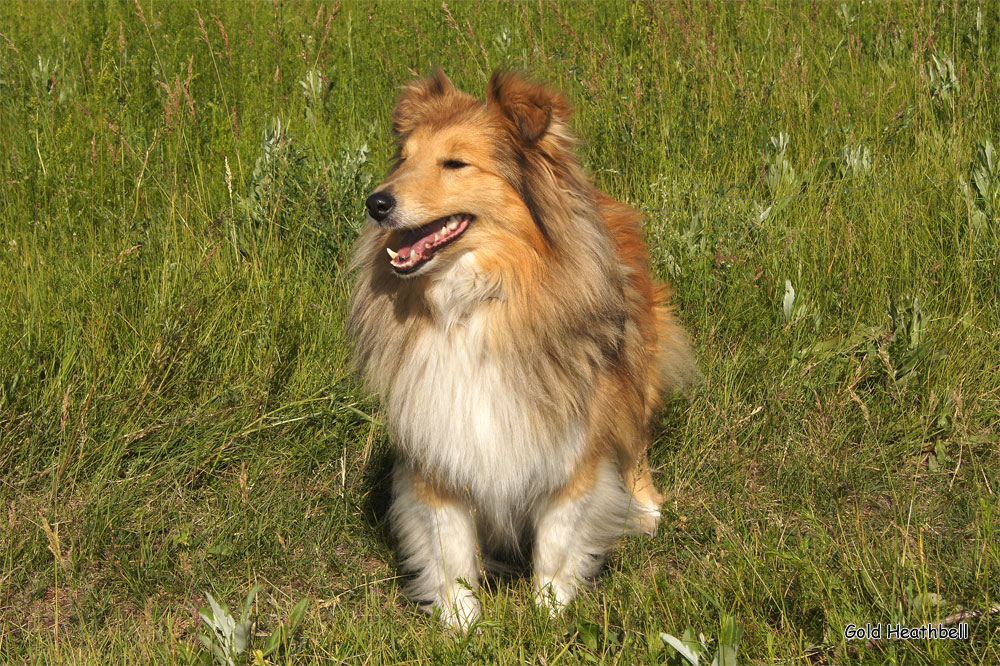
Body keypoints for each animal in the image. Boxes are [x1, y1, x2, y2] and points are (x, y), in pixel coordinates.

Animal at [344, 68, 696, 628]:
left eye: (455, 163)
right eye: (405, 158)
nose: (375, 203)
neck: (475, 301)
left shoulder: (572, 446)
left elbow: (557, 538)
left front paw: (548, 614)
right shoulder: (438, 439)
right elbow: (450, 545)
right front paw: (462, 622)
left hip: (637, 363)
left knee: (636, 439)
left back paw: (644, 508)